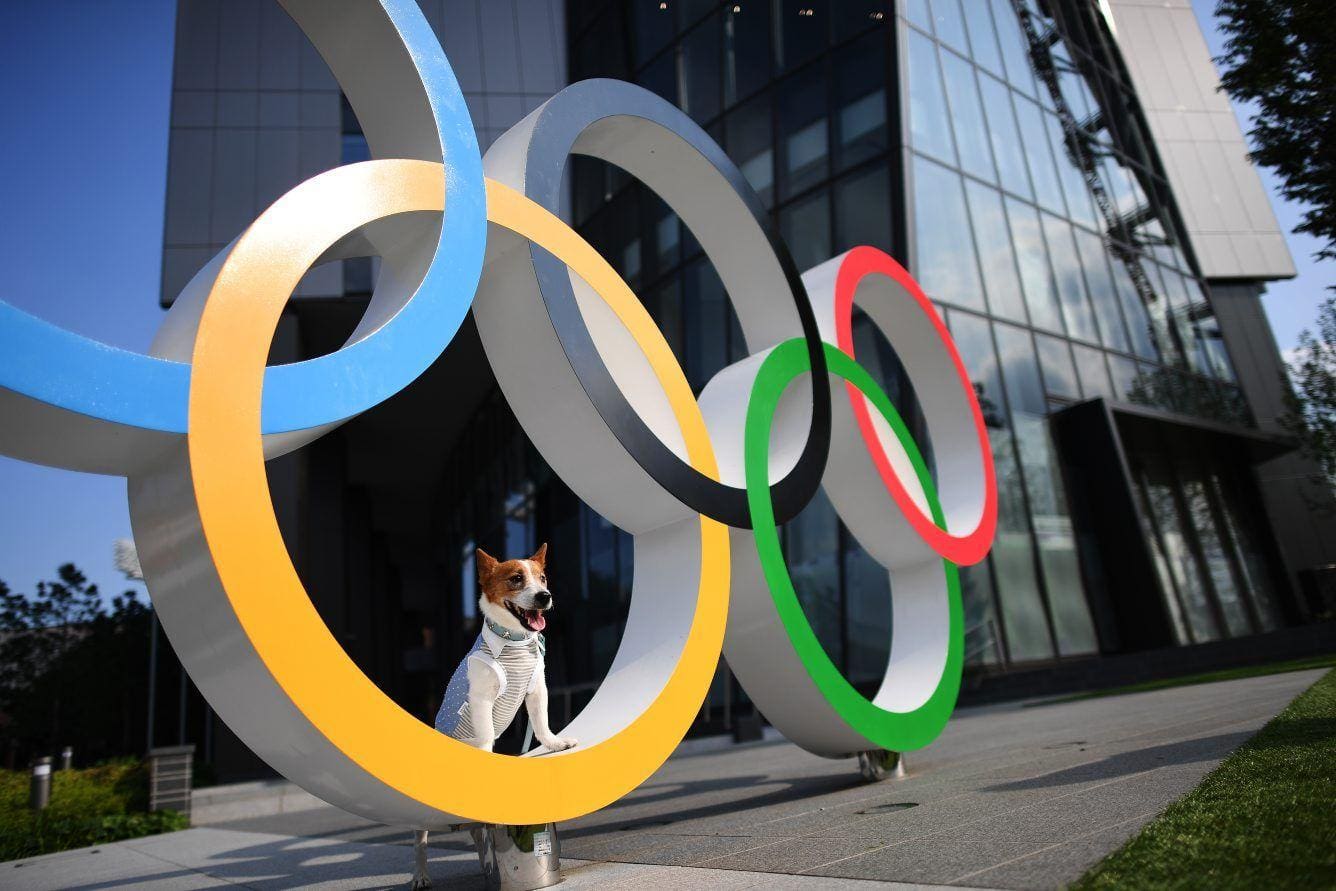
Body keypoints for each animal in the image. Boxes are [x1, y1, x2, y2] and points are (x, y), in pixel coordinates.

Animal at [406, 547, 574, 886]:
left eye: (543, 578)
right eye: (516, 579)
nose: (545, 596)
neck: (514, 642)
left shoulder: (536, 689)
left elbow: (541, 723)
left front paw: (554, 743)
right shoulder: (481, 699)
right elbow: (484, 734)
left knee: (478, 833)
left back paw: (486, 865)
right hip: (421, 817)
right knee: (421, 842)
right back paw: (420, 875)